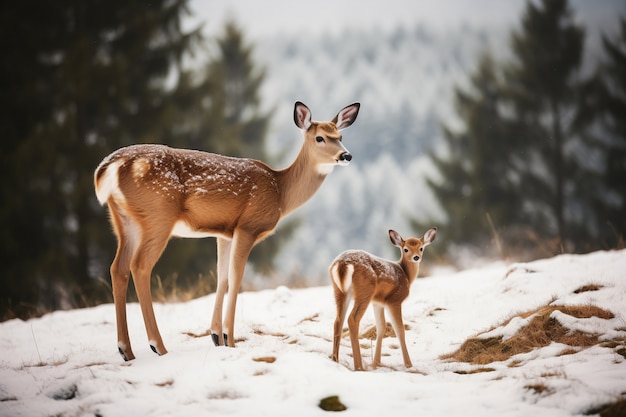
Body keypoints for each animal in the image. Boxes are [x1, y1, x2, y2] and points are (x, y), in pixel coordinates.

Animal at [92, 101, 356, 360]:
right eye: (320, 138)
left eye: (340, 135)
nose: (346, 155)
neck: (280, 192)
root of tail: (108, 167)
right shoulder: (248, 226)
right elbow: (237, 277)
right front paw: (230, 339)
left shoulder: (224, 233)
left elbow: (222, 276)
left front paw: (216, 336)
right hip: (157, 215)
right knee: (140, 266)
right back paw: (158, 346)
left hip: (123, 219)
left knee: (118, 268)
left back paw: (126, 350)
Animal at [330, 228, 436, 370]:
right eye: (406, 249)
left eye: (421, 248)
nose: (416, 257)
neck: (406, 275)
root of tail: (342, 264)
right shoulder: (394, 300)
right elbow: (399, 330)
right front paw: (408, 364)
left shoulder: (378, 303)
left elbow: (381, 327)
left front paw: (376, 363)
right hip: (365, 291)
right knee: (352, 319)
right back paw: (359, 366)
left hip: (340, 291)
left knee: (338, 321)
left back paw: (335, 359)